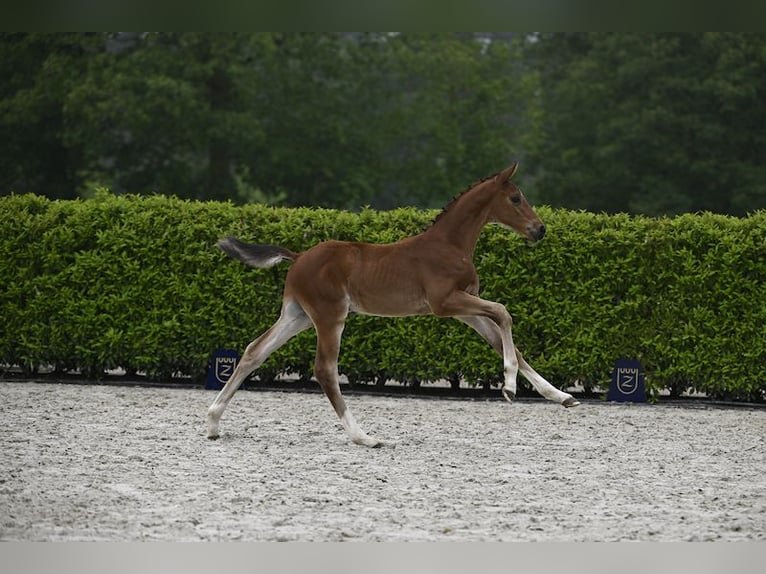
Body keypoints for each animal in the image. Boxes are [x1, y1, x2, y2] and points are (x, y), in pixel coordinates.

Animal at [207, 163, 580, 450]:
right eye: (516, 198)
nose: (540, 229)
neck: (450, 245)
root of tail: (298, 257)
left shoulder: (464, 310)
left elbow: (507, 342)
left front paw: (560, 396)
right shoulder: (446, 302)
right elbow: (504, 312)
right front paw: (509, 387)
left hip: (297, 315)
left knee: (255, 351)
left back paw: (212, 422)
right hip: (330, 316)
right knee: (324, 369)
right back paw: (364, 437)